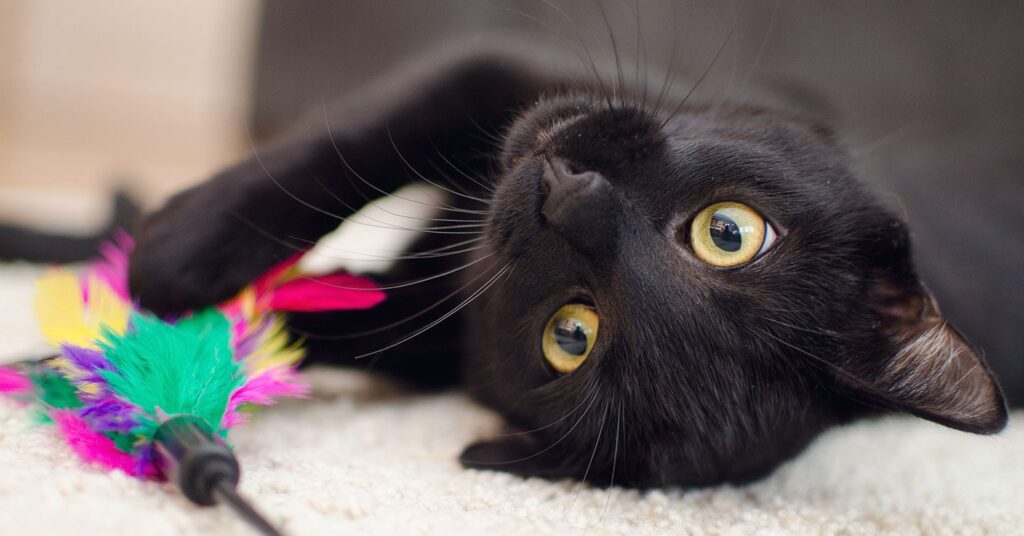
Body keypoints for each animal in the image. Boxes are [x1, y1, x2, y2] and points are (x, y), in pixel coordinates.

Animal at [125, 44, 1007, 487]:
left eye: (572, 336)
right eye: (728, 233)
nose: (569, 200)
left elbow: (318, 315)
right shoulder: (499, 68)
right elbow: (355, 142)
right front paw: (173, 254)